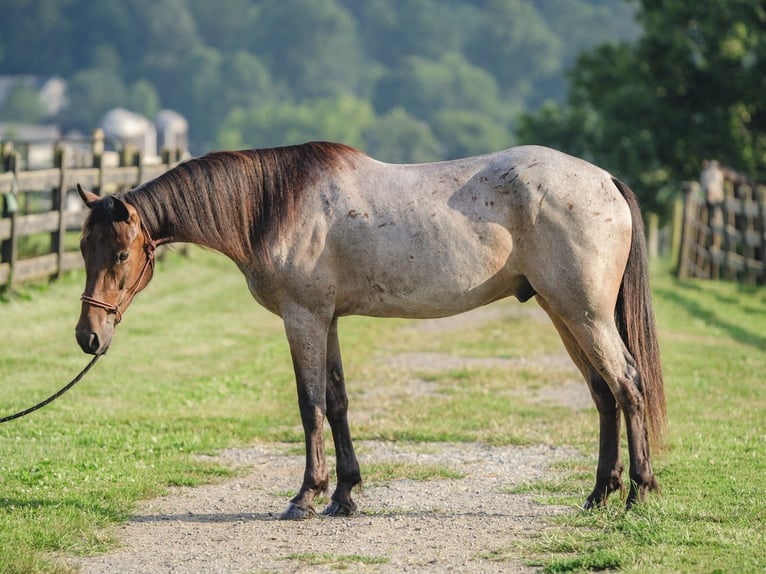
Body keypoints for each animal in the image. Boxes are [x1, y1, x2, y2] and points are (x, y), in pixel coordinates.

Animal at [75, 142, 666, 518]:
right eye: (83, 248)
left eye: (121, 253)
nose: (88, 336)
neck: (274, 203)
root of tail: (605, 181)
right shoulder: (328, 320)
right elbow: (337, 403)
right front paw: (344, 495)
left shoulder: (304, 318)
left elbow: (310, 404)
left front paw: (306, 496)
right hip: (562, 313)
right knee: (604, 395)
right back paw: (599, 493)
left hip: (584, 315)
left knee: (628, 386)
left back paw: (638, 493)